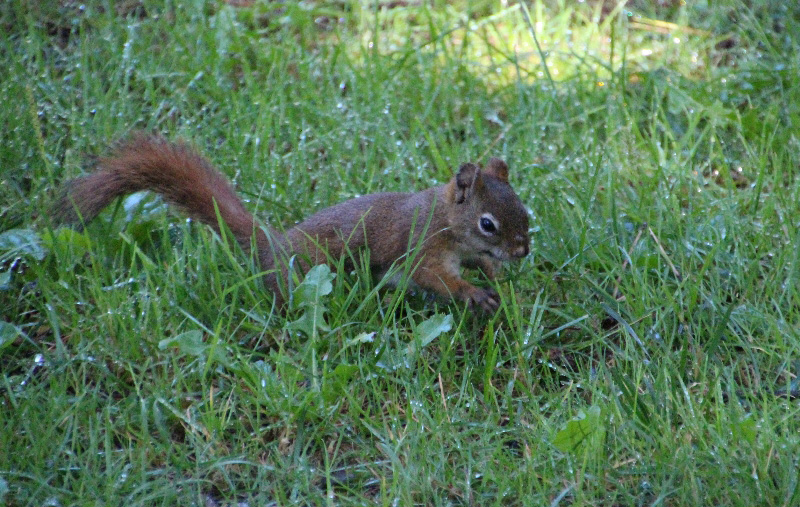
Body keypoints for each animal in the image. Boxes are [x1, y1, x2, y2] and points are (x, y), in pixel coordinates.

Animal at [53, 133, 530, 311]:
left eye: (524, 210)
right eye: (488, 223)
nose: (523, 250)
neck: (448, 220)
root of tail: (271, 246)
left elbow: (481, 265)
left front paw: (498, 278)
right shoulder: (423, 246)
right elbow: (434, 276)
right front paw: (475, 294)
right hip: (304, 275)